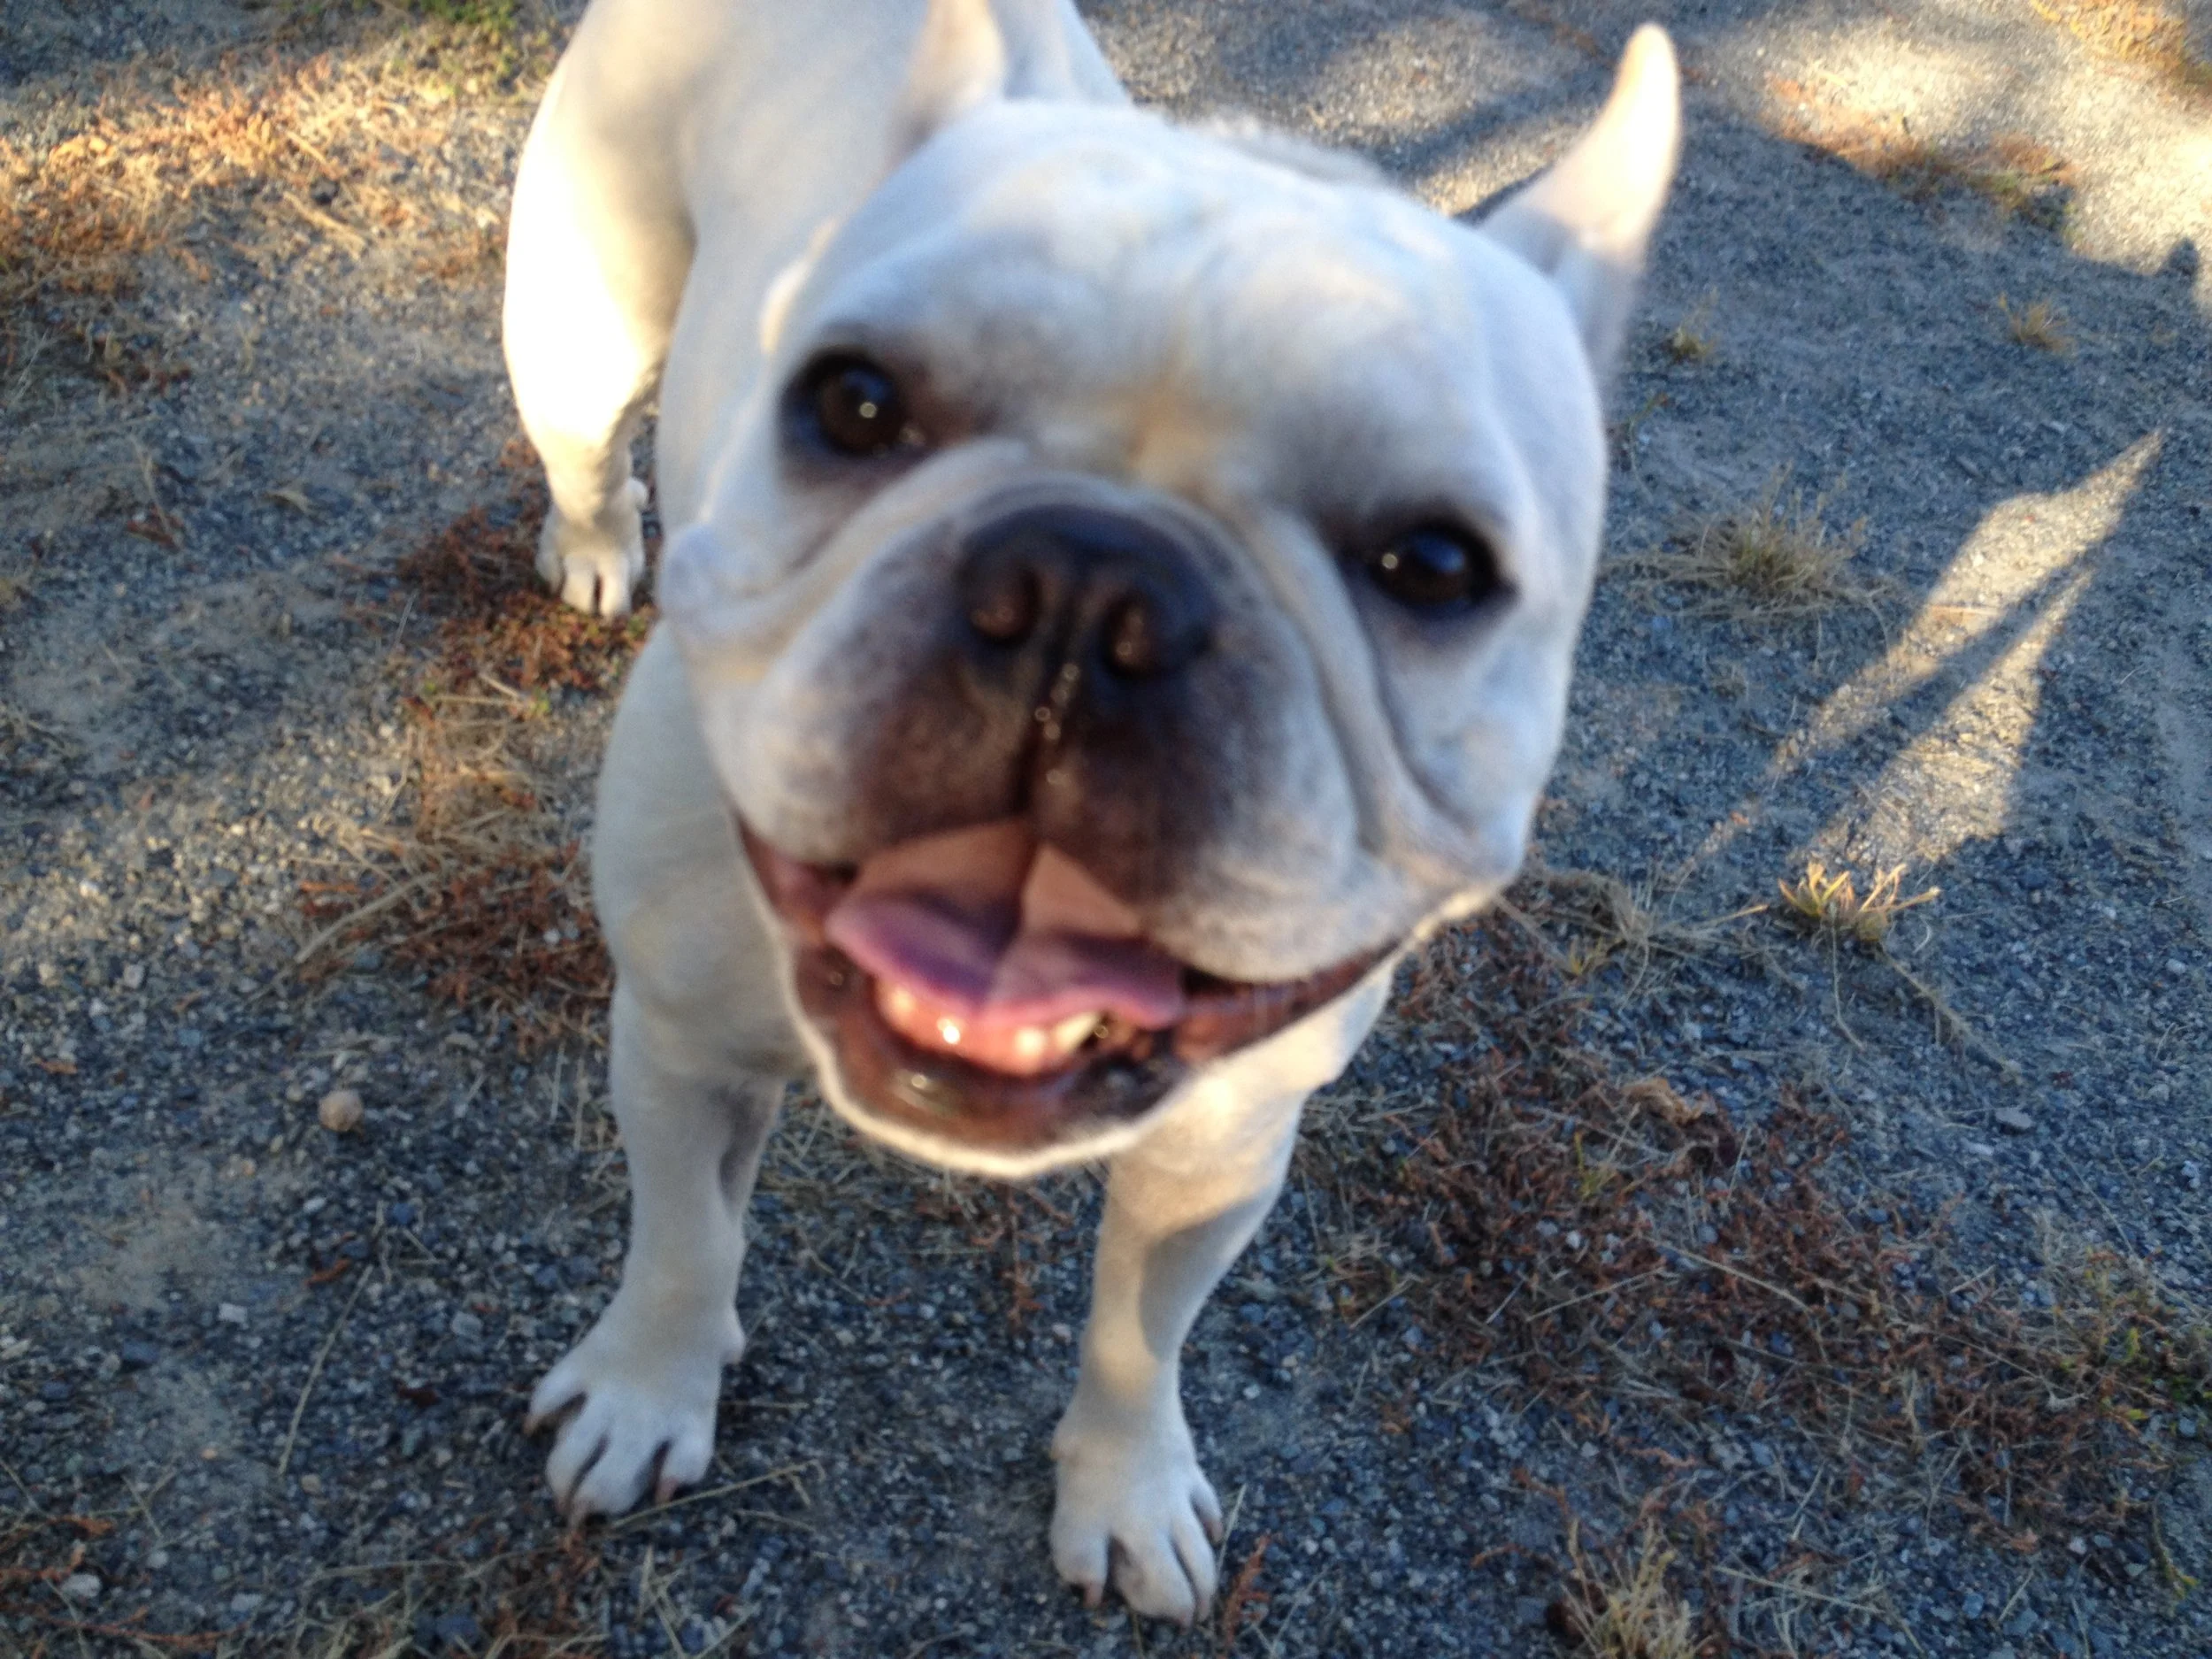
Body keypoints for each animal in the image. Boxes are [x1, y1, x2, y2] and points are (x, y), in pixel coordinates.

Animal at [501, 0, 1677, 1621]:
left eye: (1435, 565)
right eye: (853, 404)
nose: (1087, 584)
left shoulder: (1220, 1154)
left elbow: (1142, 1330)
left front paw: (1122, 1488)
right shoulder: (676, 1043)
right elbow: (682, 1239)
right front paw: (648, 1389)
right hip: (582, 317)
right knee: (585, 440)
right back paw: (600, 541)